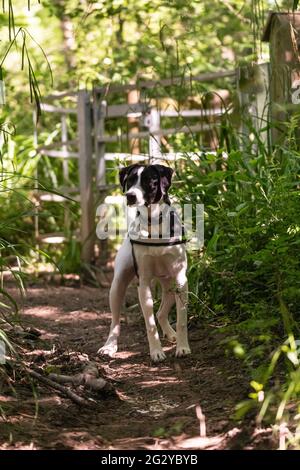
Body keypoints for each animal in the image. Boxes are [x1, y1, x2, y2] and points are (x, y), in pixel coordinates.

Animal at [99, 163, 191, 362]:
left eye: (150, 181)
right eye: (130, 180)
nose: (130, 196)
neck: (153, 223)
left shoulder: (181, 280)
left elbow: (181, 320)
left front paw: (183, 347)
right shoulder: (144, 284)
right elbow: (150, 324)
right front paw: (156, 351)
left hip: (171, 286)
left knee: (161, 312)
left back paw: (171, 334)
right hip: (117, 286)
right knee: (115, 322)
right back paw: (109, 346)